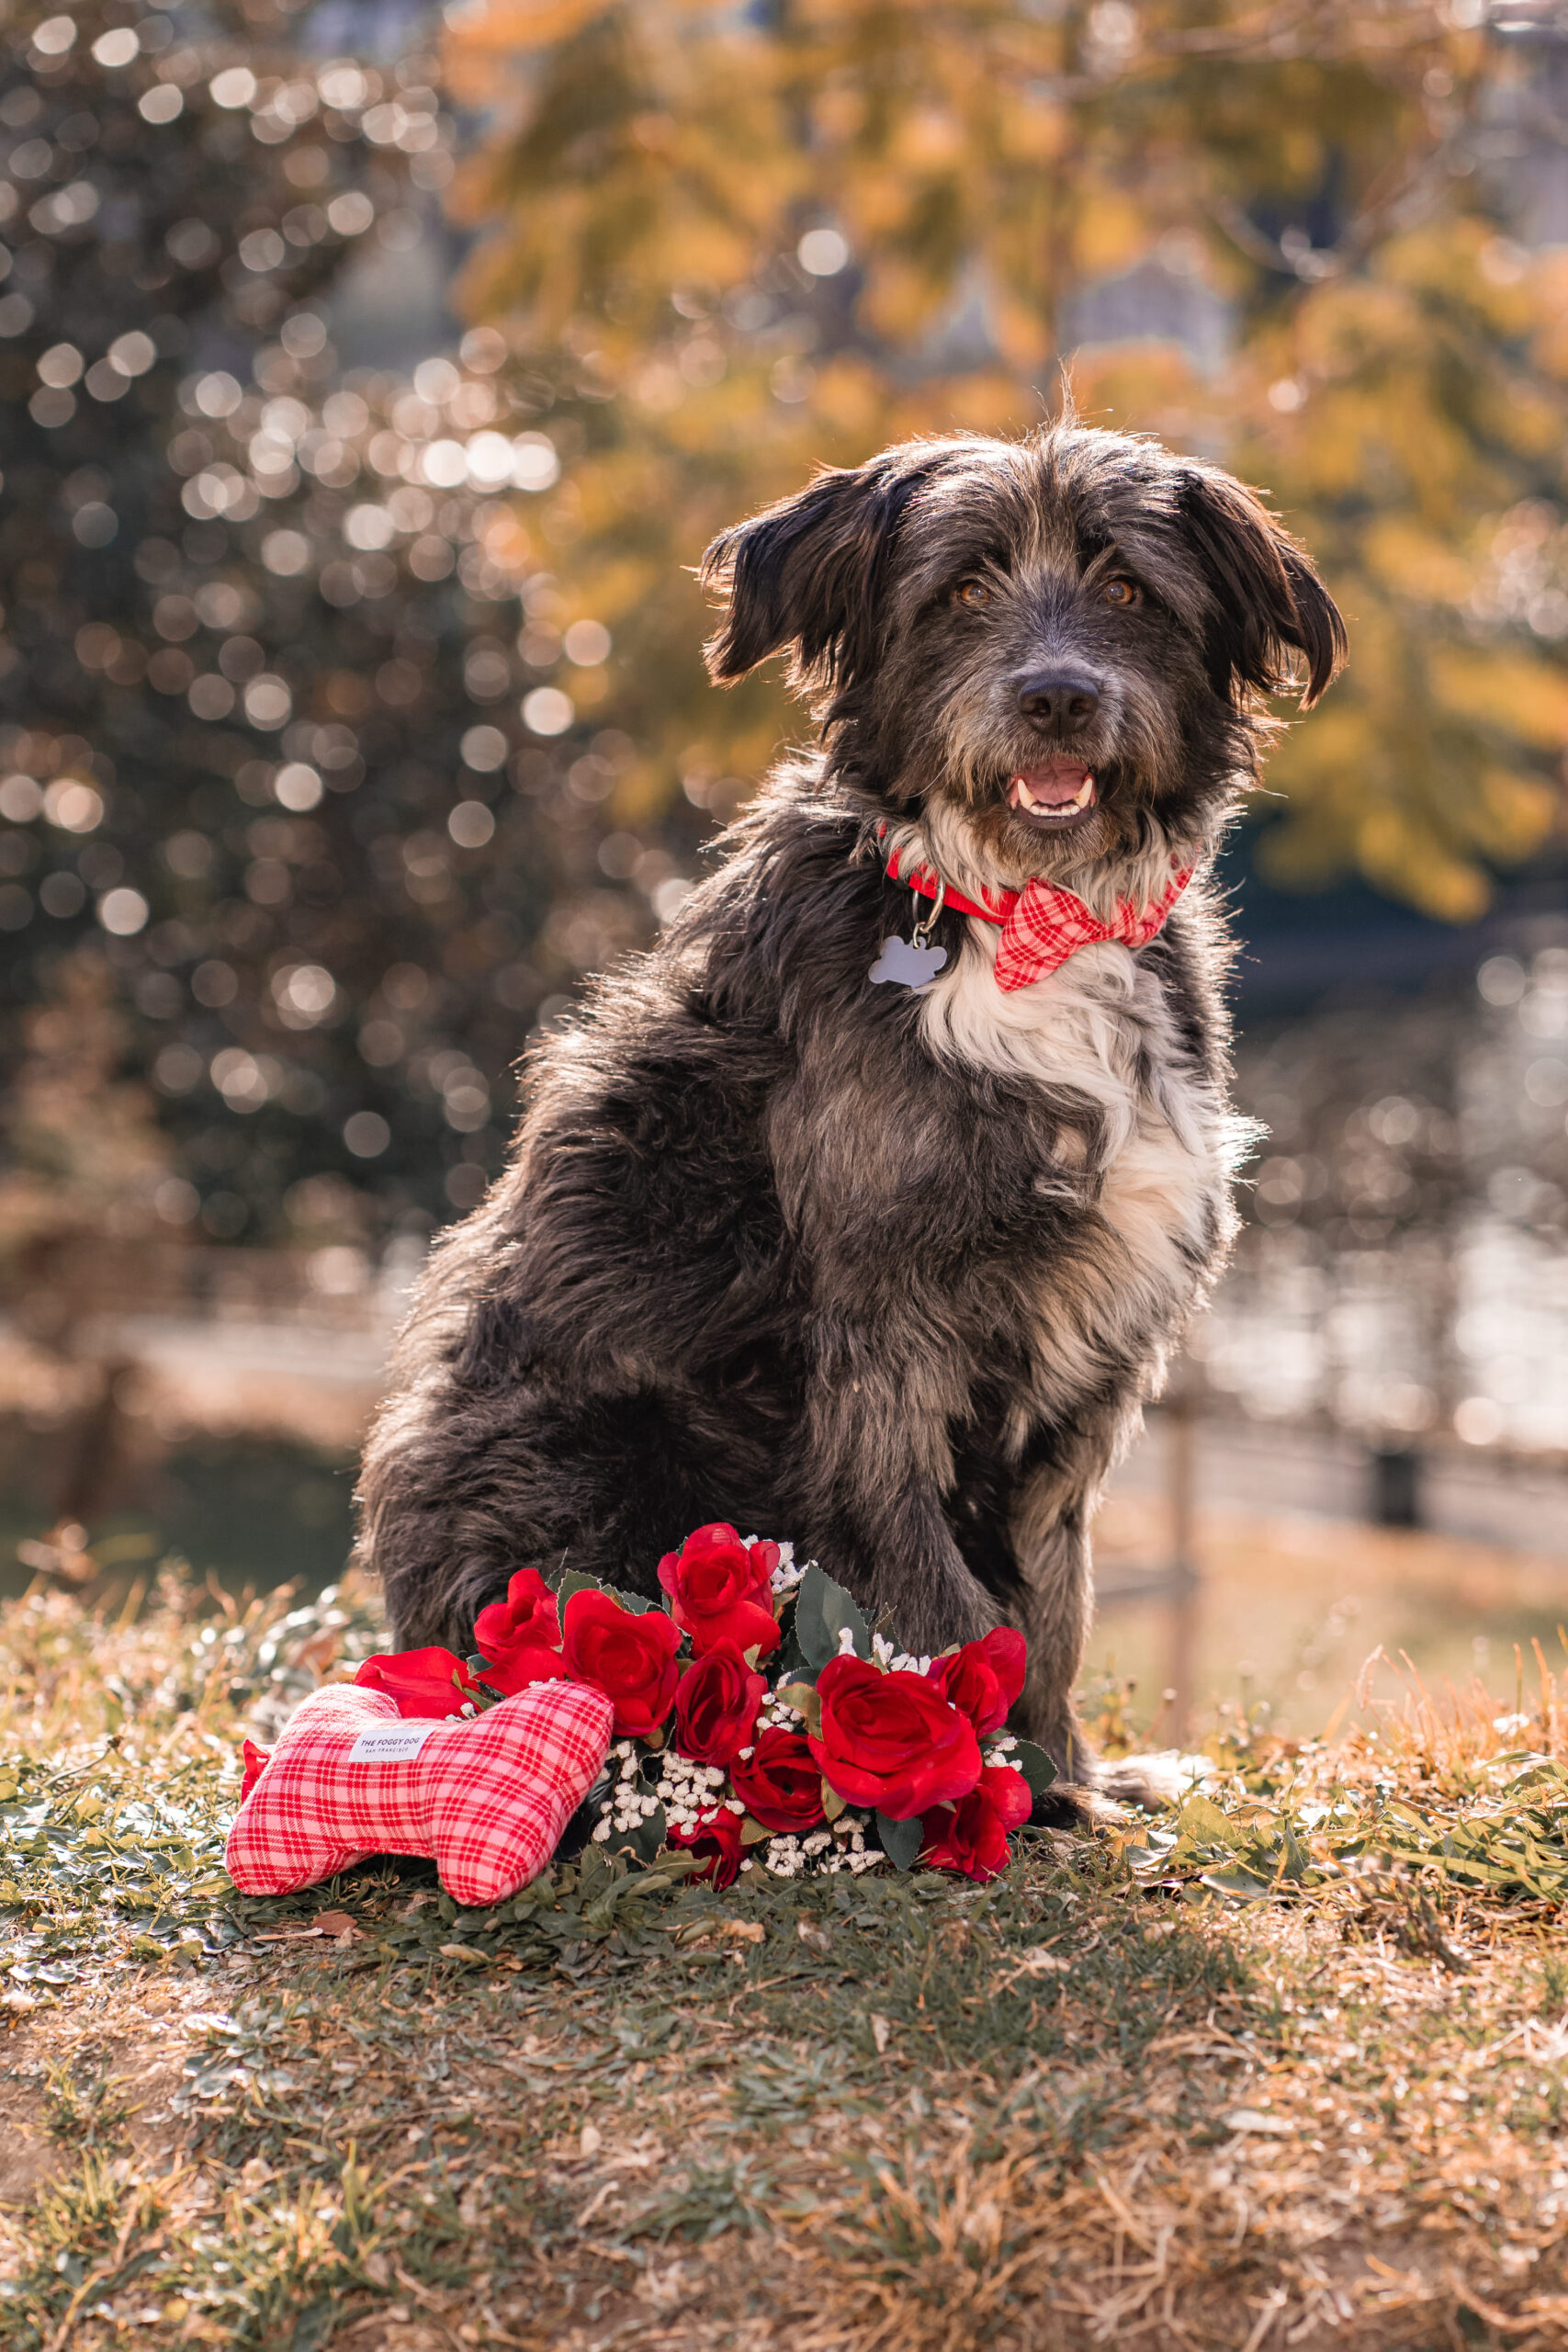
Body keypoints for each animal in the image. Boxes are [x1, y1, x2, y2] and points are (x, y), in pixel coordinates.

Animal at [359, 413, 1354, 1787]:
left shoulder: (1094, 1352)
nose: (1055, 697)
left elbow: (1053, 1595)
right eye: (963, 591)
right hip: (584, 1472)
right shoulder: (883, 1330)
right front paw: (979, 1790)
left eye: (1125, 590)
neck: (1018, 921)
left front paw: (1061, 1780)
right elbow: (946, 1606)